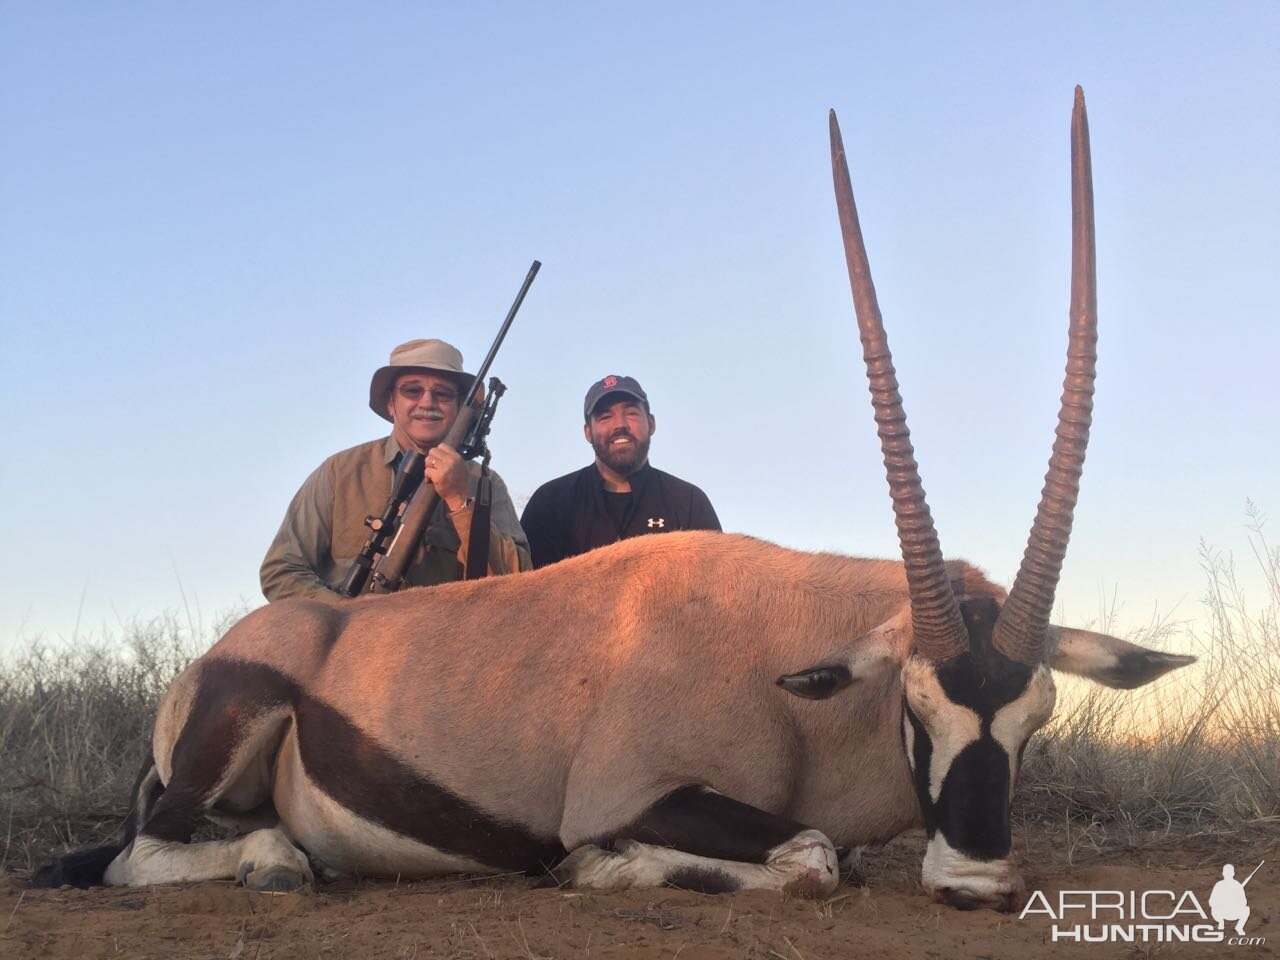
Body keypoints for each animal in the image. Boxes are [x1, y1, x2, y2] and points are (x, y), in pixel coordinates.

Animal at [32, 88, 1187, 911]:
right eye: (913, 707)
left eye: (1036, 717)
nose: (978, 884)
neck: (781, 657)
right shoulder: (631, 793)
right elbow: (813, 857)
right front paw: (597, 870)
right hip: (230, 733)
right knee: (147, 854)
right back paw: (275, 863)